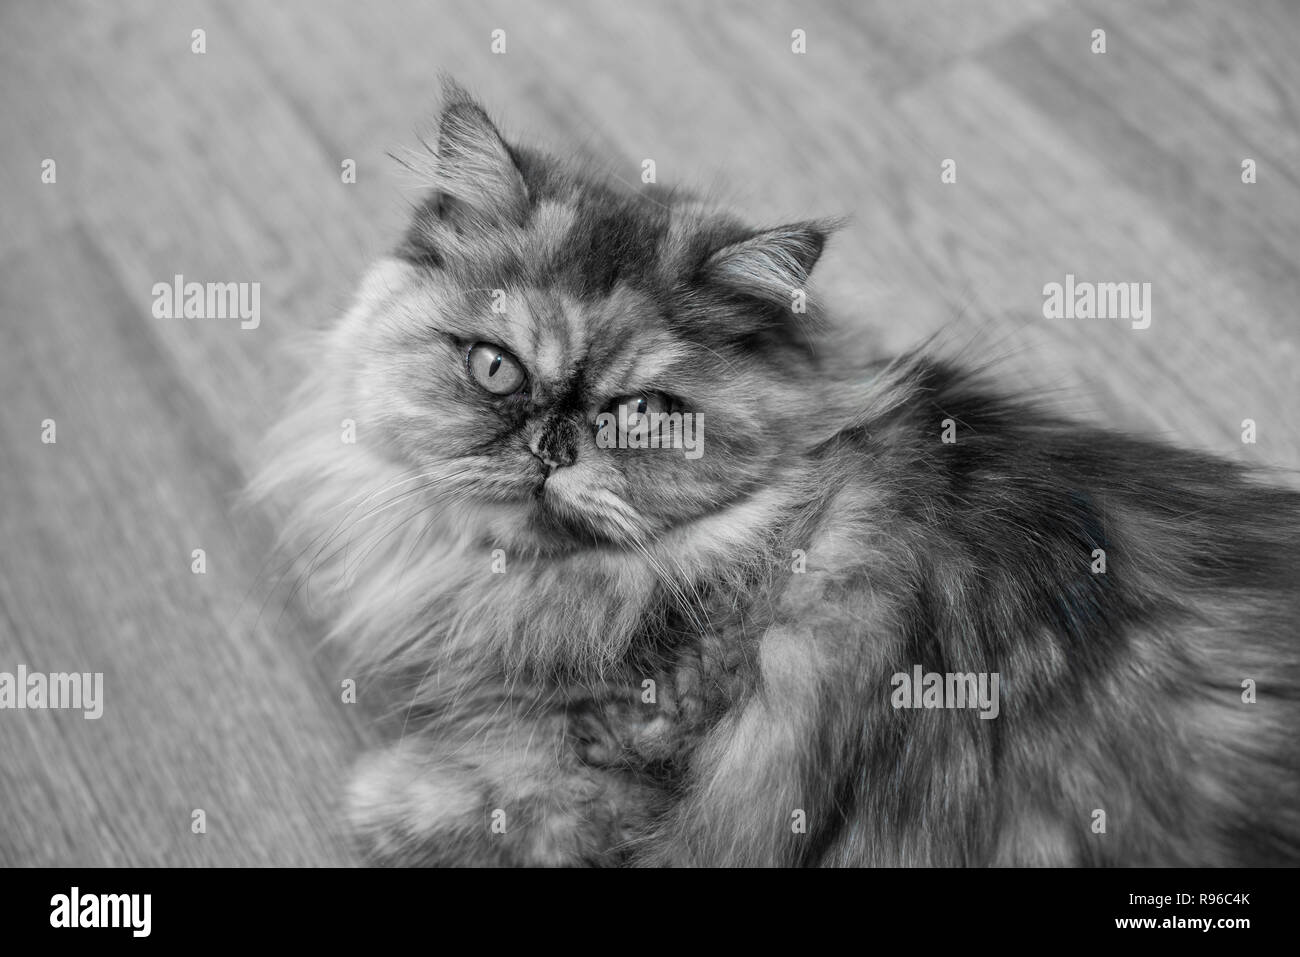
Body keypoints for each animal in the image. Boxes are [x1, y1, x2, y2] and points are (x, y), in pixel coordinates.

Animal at [256, 82, 1300, 868]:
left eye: (643, 412)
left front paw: (384, 794)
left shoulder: (621, 766)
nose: (554, 444)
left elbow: (453, 799)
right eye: (495, 368)